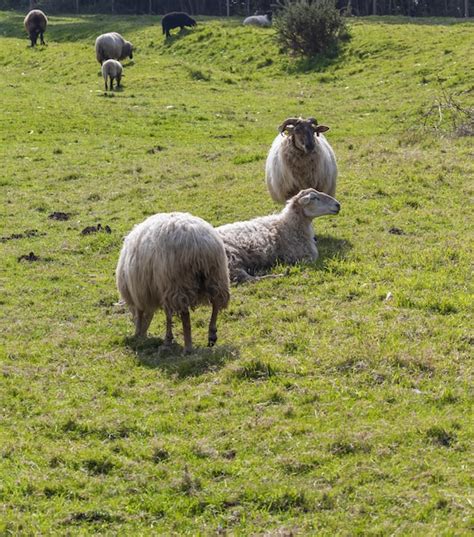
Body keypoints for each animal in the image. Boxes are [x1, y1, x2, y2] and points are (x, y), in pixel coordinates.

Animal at [116, 211, 231, 354]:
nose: (141, 335)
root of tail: (198, 242)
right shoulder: (161, 288)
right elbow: (167, 314)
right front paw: (167, 339)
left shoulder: (146, 290)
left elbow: (152, 313)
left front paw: (161, 338)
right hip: (216, 275)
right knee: (216, 302)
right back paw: (212, 334)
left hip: (178, 283)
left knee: (185, 314)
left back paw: (188, 347)